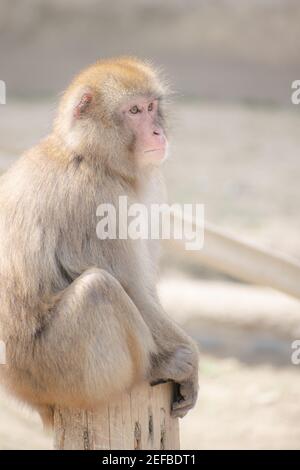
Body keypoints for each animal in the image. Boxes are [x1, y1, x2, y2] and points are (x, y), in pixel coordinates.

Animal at [0, 57, 199, 428]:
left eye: (151, 107)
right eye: (133, 111)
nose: (158, 133)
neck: (93, 157)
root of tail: (25, 395)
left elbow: (144, 287)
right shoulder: (97, 200)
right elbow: (131, 287)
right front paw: (189, 363)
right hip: (54, 371)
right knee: (99, 289)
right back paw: (153, 369)